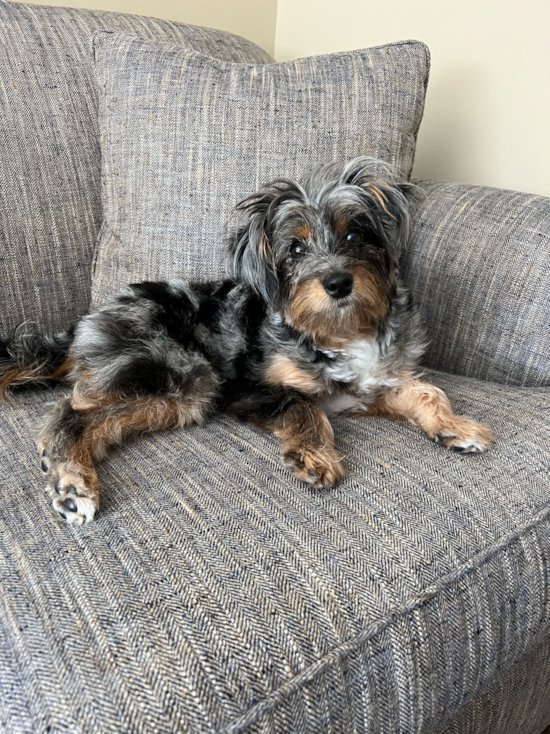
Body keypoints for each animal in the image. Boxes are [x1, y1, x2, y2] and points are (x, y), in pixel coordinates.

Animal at [0, 157, 496, 524]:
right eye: (295, 249)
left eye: (356, 233)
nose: (338, 282)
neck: (339, 330)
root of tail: (86, 319)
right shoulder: (245, 388)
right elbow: (305, 407)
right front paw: (314, 456)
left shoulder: (372, 384)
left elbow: (426, 391)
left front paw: (456, 425)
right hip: (186, 376)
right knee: (70, 414)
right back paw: (72, 483)